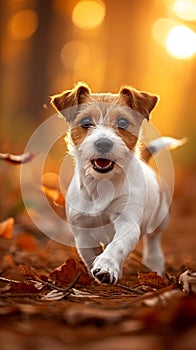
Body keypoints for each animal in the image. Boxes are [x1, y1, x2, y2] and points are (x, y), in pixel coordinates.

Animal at [51, 82, 185, 284]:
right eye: (85, 122)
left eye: (122, 123)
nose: (103, 144)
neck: (102, 184)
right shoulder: (82, 231)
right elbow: (89, 255)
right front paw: (98, 270)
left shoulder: (127, 221)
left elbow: (117, 245)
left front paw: (106, 267)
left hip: (161, 218)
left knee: (154, 239)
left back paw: (154, 263)